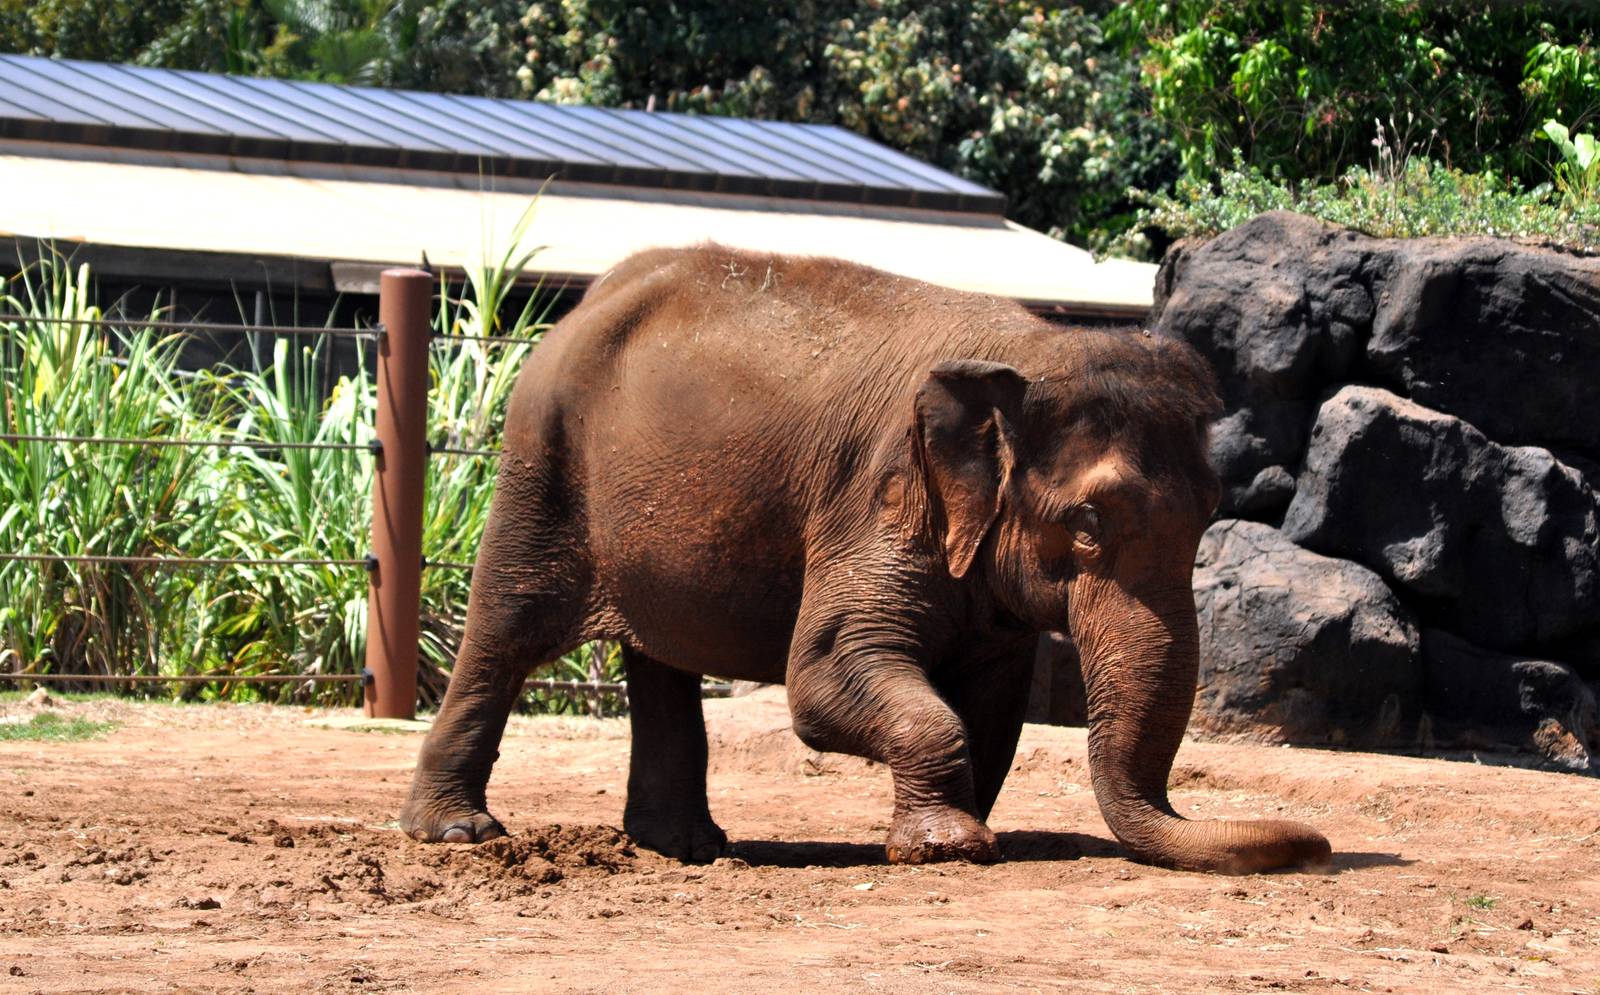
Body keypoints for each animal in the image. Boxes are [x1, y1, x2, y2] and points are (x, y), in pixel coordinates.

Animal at [400, 245, 1333, 873]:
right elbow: (822, 676)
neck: (1031, 350)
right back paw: (459, 833)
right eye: (1090, 523)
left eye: (1208, 517)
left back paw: (688, 846)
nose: (1316, 843)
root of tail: (583, 303)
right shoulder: (879, 492)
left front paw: (963, 829)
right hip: (542, 458)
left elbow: (992, 699)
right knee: (506, 631)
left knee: (660, 657)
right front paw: (950, 847)